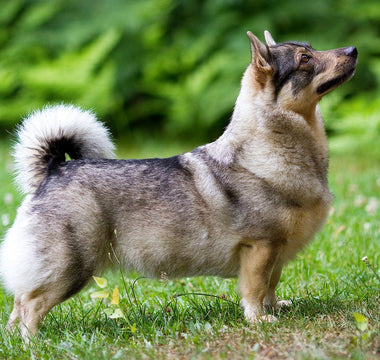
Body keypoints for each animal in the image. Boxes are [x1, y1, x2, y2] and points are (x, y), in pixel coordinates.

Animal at [0, 30, 358, 340]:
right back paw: (34, 342)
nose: (353, 50)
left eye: (310, 49)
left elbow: (271, 284)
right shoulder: (260, 248)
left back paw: (16, 340)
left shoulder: (276, 254)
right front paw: (259, 320)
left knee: (17, 306)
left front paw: (274, 309)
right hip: (70, 268)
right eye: (305, 59)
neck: (269, 145)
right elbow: (256, 289)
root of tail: (54, 169)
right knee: (30, 305)